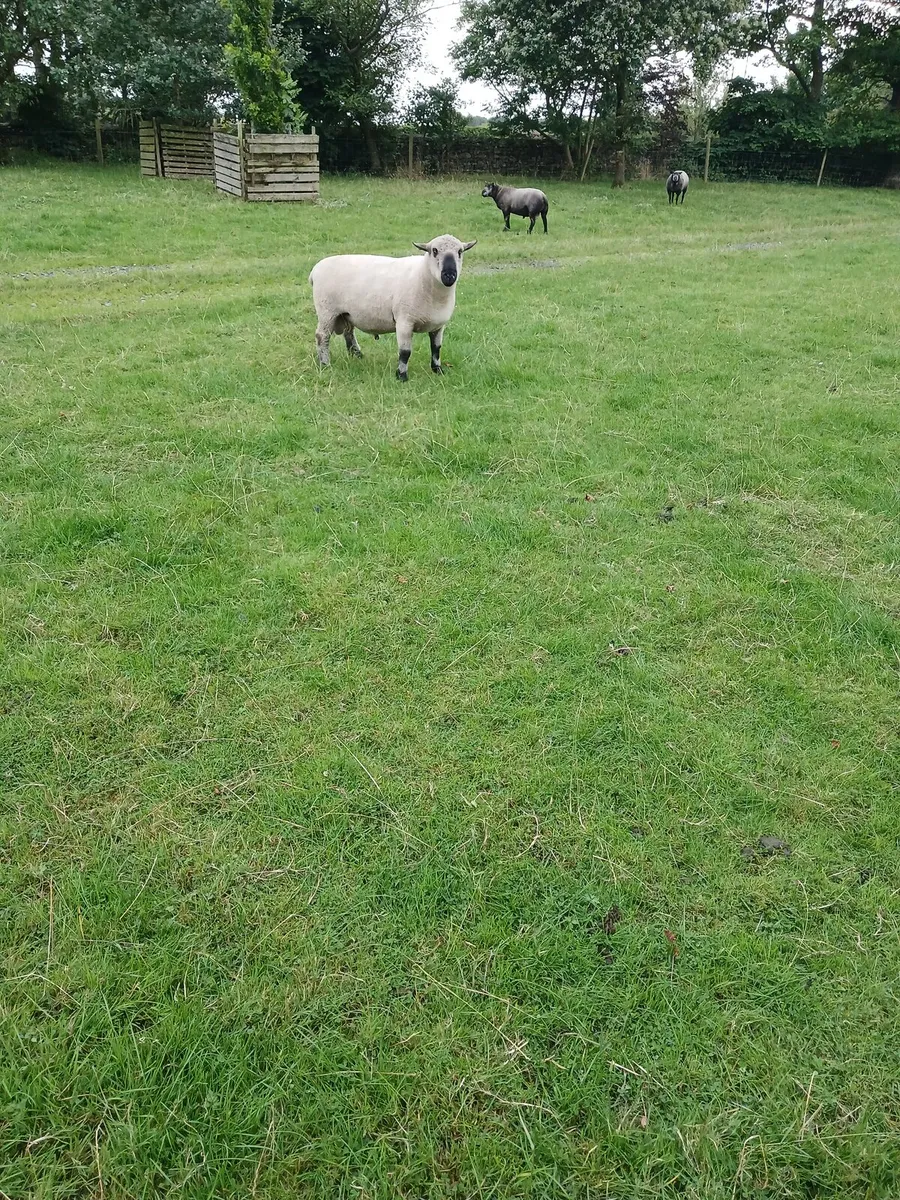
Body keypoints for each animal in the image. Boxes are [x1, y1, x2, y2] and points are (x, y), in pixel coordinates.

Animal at [309, 234, 477, 382]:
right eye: (434, 251)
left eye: (460, 252)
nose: (449, 275)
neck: (423, 276)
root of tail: (314, 271)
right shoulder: (404, 322)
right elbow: (405, 352)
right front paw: (401, 376)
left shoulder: (439, 325)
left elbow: (436, 348)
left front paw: (438, 370)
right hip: (327, 311)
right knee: (322, 336)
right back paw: (325, 364)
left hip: (346, 313)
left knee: (348, 332)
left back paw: (357, 355)